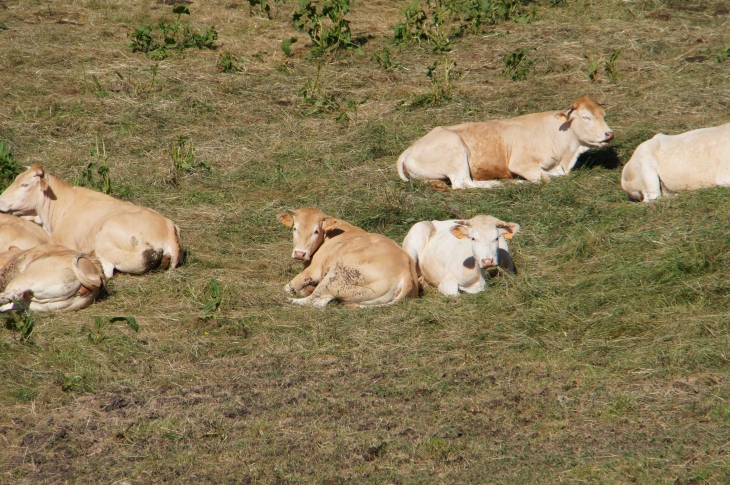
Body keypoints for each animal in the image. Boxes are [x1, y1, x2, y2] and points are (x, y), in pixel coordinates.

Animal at [276, 207, 418, 306]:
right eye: (295, 228)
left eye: (316, 231)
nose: (300, 253)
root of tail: (406, 272)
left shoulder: (313, 270)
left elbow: (288, 286)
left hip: (337, 274)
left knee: (314, 300)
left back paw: (290, 300)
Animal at [396, 96, 612, 189]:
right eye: (586, 117)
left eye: (604, 115)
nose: (609, 134)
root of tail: (409, 149)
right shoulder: (521, 163)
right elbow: (543, 178)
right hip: (456, 149)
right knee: (463, 183)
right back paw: (500, 183)